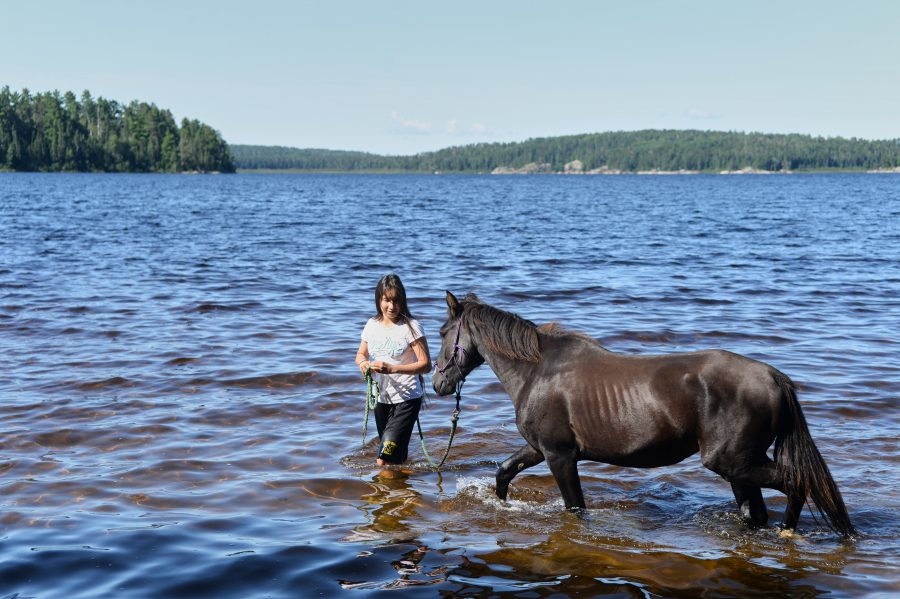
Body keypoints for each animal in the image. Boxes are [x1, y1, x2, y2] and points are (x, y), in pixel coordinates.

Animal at [432, 292, 856, 540]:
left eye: (442, 332)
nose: (437, 383)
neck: (537, 371)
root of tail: (773, 377)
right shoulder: (540, 449)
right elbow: (504, 472)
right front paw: (503, 508)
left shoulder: (560, 456)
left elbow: (575, 509)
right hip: (740, 468)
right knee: (755, 512)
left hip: (733, 461)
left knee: (796, 484)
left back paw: (788, 534)